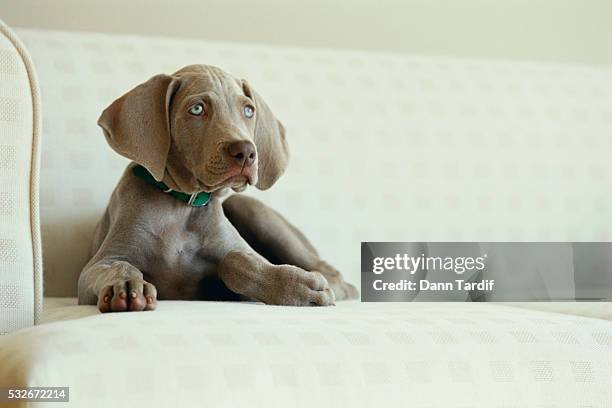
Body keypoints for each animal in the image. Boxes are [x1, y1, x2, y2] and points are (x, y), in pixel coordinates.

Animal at [80, 64, 358, 312]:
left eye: (248, 110)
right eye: (197, 109)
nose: (246, 152)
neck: (181, 204)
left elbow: (234, 261)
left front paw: (299, 287)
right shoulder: (94, 270)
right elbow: (118, 266)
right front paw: (125, 285)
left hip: (248, 207)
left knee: (333, 273)